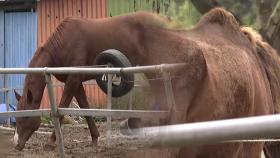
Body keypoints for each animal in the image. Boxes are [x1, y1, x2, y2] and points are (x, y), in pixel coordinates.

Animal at [13, 6, 280, 157]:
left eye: (21, 117)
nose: (16, 144)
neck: (66, 42)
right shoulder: (75, 81)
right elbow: (85, 110)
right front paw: (95, 138)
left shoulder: (74, 79)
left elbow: (64, 107)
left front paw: (51, 144)